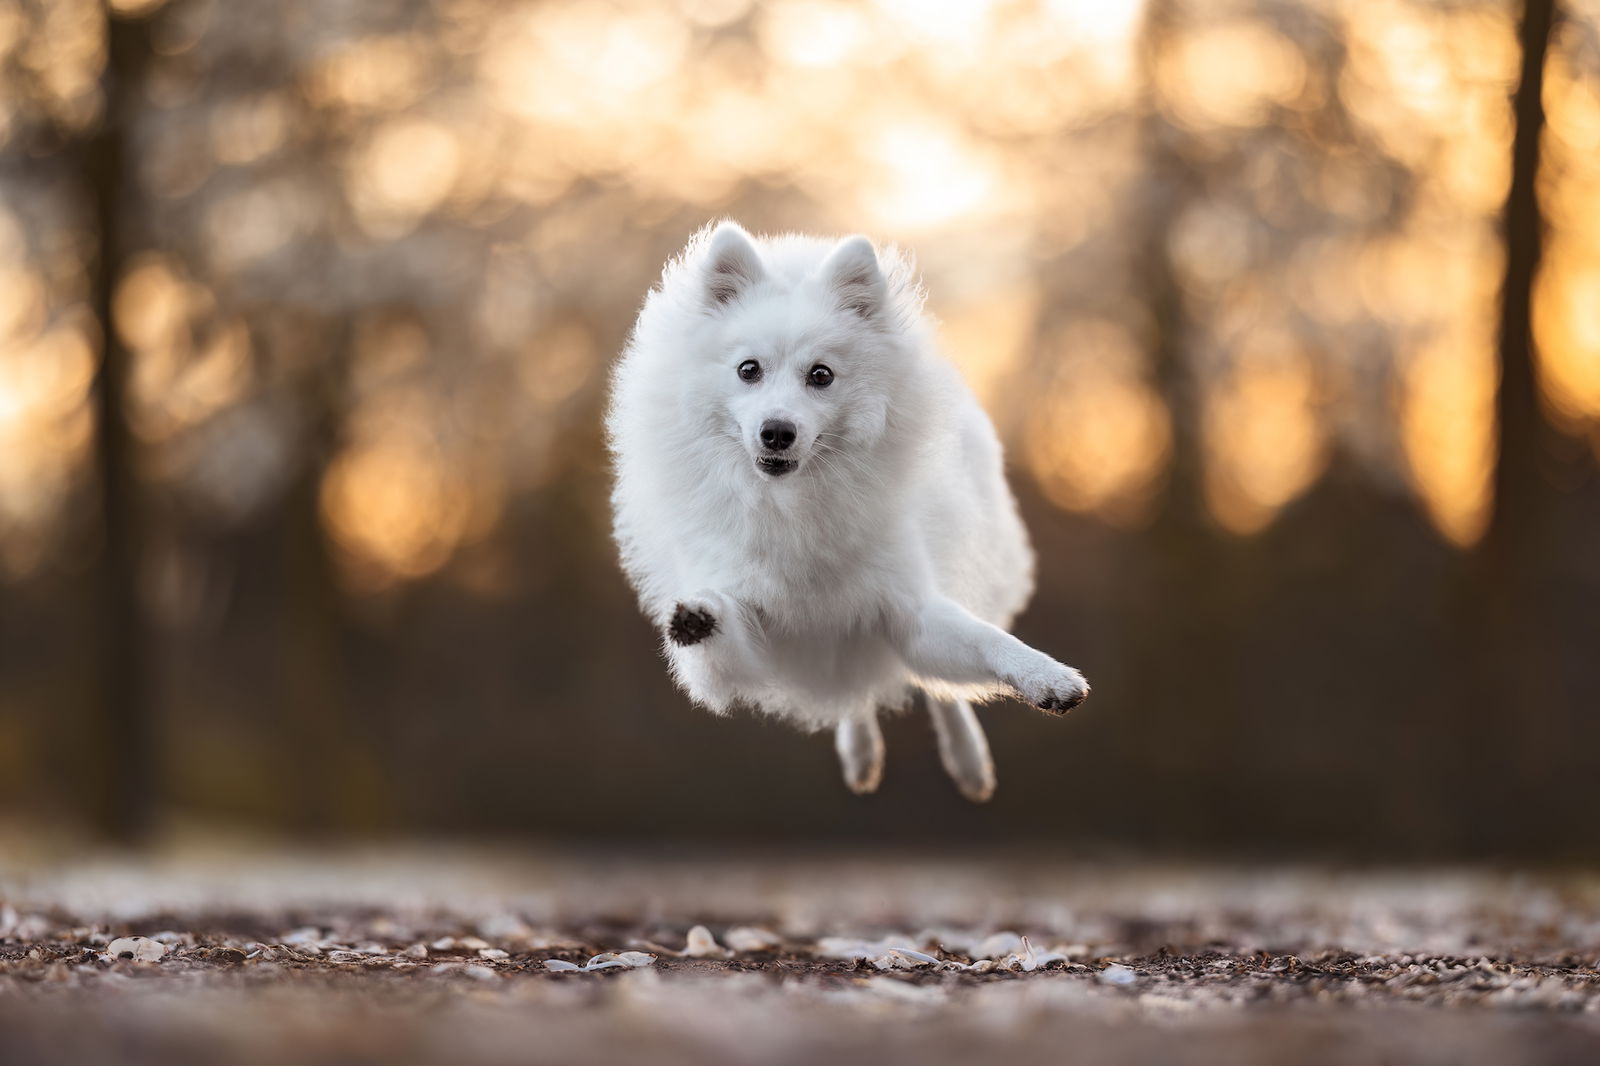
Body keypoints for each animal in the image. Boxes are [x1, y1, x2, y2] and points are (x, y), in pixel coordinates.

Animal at [601, 222, 1088, 797]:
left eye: (821, 375)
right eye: (748, 370)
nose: (777, 431)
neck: (792, 502)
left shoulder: (909, 611)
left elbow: (987, 640)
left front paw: (1047, 676)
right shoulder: (751, 645)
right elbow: (721, 625)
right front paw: (701, 614)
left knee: (941, 690)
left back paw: (968, 762)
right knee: (858, 696)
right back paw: (862, 752)